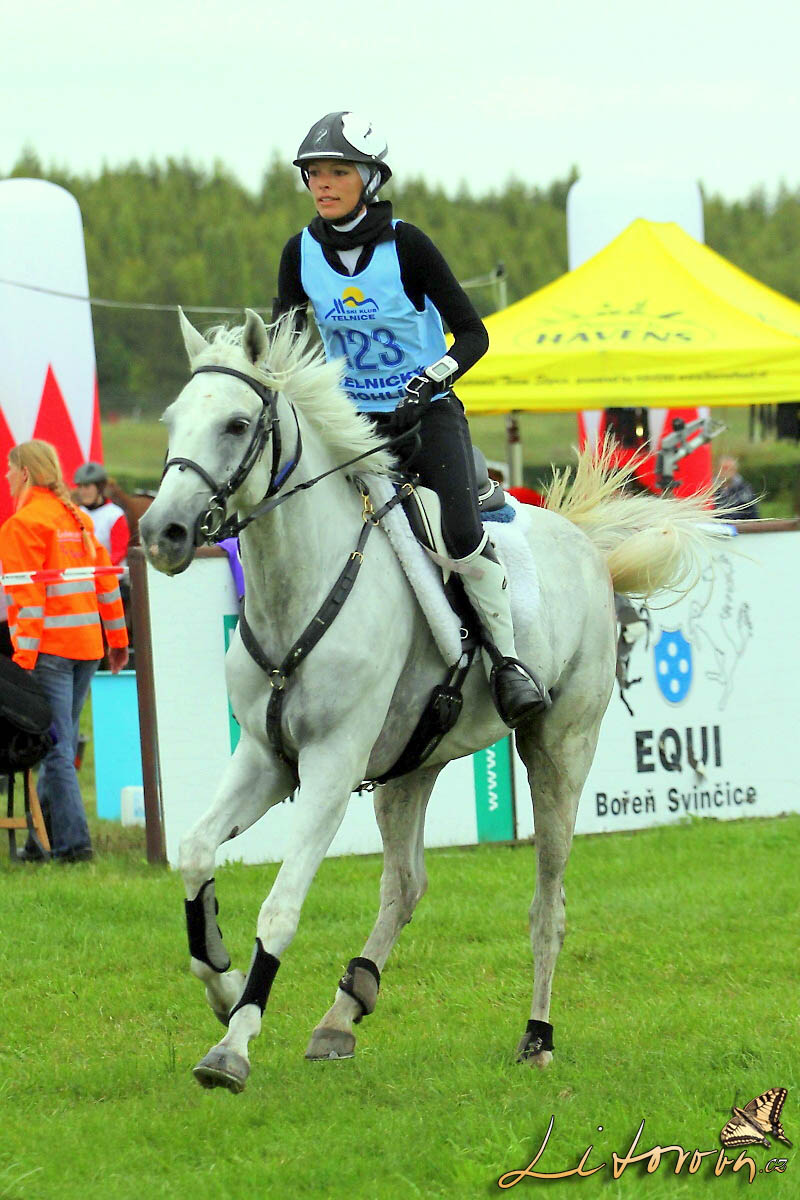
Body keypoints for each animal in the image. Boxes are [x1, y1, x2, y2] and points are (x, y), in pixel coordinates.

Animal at [139, 308, 722, 1094]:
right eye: (174, 420)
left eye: (235, 424)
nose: (161, 534)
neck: (299, 588)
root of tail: (584, 543)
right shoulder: (266, 758)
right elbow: (195, 853)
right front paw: (225, 987)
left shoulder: (328, 768)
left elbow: (282, 905)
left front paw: (232, 1047)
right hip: (411, 765)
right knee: (406, 884)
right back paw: (343, 1011)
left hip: (559, 751)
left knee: (548, 905)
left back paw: (536, 1036)